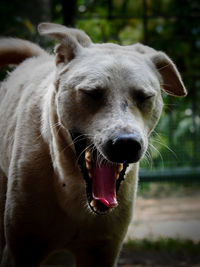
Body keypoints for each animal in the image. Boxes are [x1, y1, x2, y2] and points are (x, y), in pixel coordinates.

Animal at [0, 23, 186, 267]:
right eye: (91, 93)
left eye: (144, 97)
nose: (126, 144)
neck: (71, 186)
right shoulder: (21, 250)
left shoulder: (103, 251)